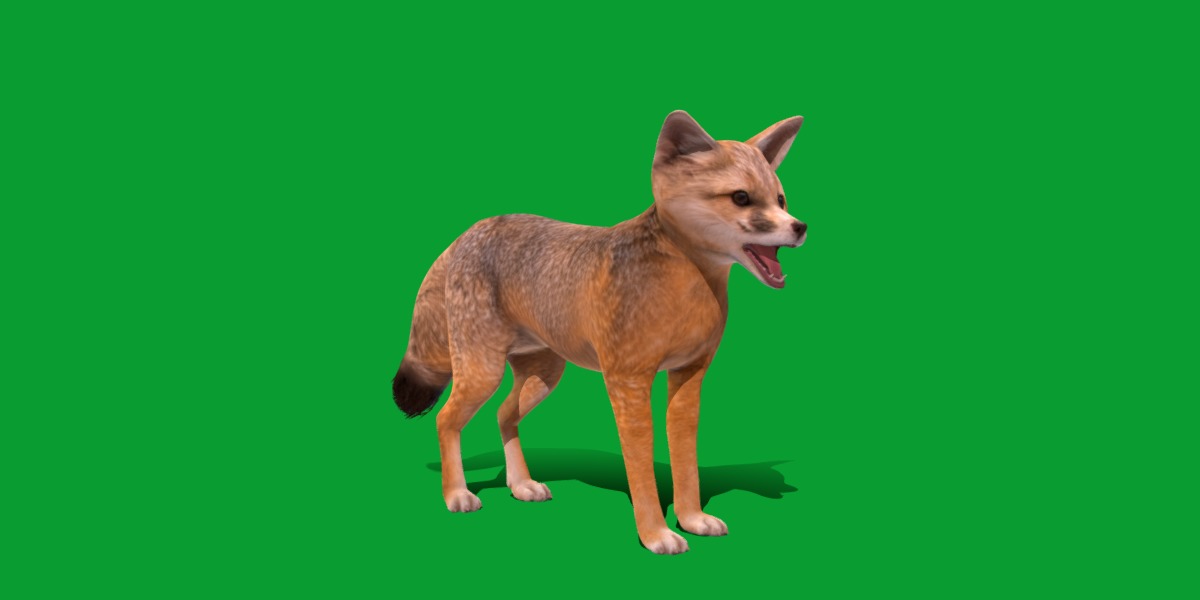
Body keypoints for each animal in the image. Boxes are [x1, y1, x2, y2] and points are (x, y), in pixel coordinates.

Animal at [393, 110, 807, 554]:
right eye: (742, 198)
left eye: (780, 200)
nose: (800, 227)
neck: (688, 292)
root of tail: (472, 230)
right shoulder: (628, 382)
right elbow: (641, 467)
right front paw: (656, 534)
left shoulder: (688, 379)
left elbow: (686, 462)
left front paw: (692, 519)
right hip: (482, 372)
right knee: (446, 420)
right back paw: (457, 494)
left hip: (542, 378)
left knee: (504, 415)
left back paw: (521, 485)